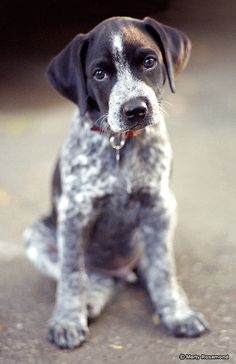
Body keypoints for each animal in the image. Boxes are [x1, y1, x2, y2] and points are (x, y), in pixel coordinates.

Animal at [24, 17, 208, 350]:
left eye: (149, 62)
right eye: (99, 74)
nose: (136, 110)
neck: (120, 144)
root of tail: (122, 271)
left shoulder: (159, 208)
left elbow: (164, 270)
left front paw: (177, 313)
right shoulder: (74, 214)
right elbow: (71, 275)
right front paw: (68, 320)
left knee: (153, 270)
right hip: (37, 235)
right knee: (94, 277)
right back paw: (90, 300)